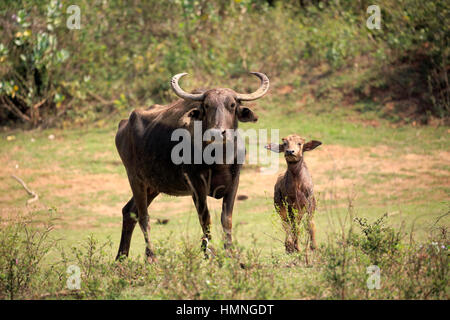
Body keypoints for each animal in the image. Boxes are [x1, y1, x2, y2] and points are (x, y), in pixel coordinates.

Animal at [116, 71, 270, 262]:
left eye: (232, 105)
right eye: (207, 105)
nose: (217, 132)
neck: (219, 158)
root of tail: (123, 125)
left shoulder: (235, 181)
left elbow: (226, 219)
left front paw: (230, 252)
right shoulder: (196, 185)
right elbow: (206, 219)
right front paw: (208, 252)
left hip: (153, 185)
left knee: (130, 211)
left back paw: (121, 257)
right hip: (135, 178)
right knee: (144, 216)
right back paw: (151, 256)